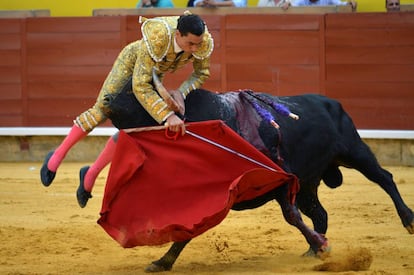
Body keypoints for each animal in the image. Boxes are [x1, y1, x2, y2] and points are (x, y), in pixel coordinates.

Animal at [102, 74, 410, 272]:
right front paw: (162, 262)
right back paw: (312, 252)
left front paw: (324, 248)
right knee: (320, 213)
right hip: (309, 183)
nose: (106, 98)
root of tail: (332, 102)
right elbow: (187, 229)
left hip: (354, 152)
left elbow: (291, 216)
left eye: (133, 93)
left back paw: (408, 220)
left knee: (384, 178)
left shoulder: (282, 181)